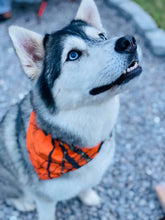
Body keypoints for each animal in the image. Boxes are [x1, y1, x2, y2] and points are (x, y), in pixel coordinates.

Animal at [0, 0, 142, 219]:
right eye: (73, 55)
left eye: (102, 37)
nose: (128, 41)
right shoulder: (45, 200)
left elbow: (86, 185)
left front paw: (88, 195)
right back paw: (22, 202)